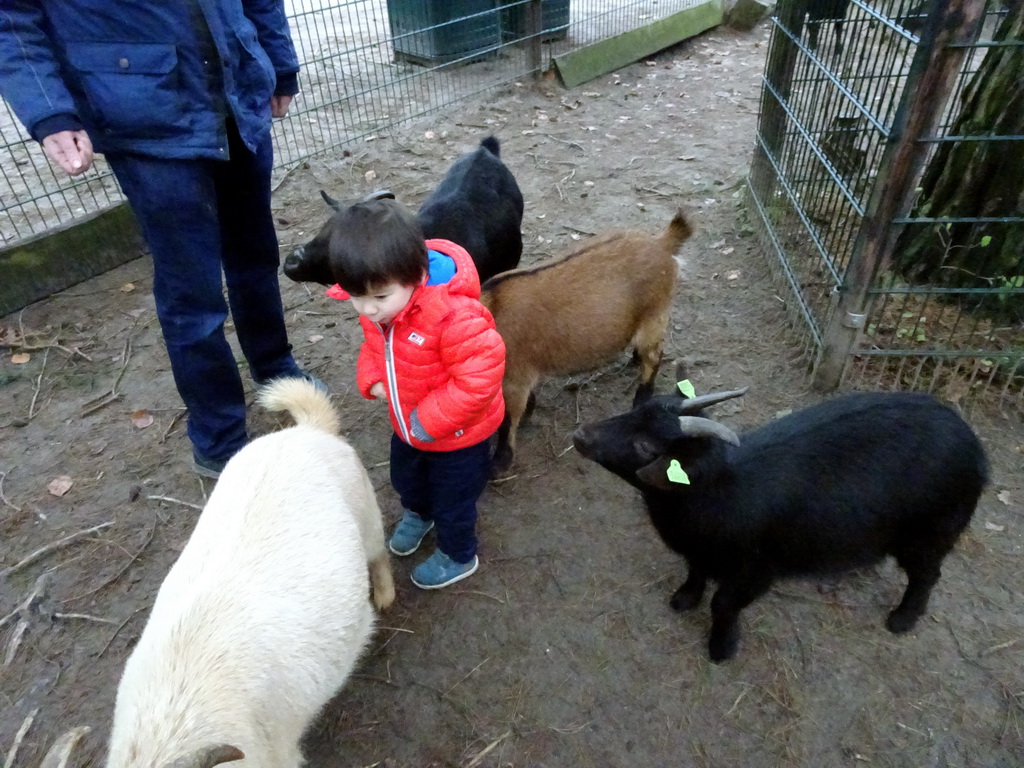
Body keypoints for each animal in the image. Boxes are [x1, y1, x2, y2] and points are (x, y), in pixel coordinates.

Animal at [105, 376, 395, 768]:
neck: (169, 720)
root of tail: (307, 429)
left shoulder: (278, 756)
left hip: (366, 513)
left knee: (379, 554)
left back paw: (384, 597)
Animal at [481, 208, 692, 475]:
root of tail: (662, 242)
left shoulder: (513, 379)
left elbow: (508, 420)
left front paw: (499, 463)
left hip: (655, 315)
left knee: (654, 357)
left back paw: (641, 398)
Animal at [573, 387, 987, 663]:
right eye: (630, 413)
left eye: (646, 446)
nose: (580, 435)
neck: (719, 492)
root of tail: (973, 443)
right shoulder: (700, 550)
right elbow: (694, 570)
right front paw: (685, 600)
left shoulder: (757, 569)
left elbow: (723, 603)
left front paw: (721, 649)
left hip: (932, 531)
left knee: (927, 575)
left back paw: (901, 620)